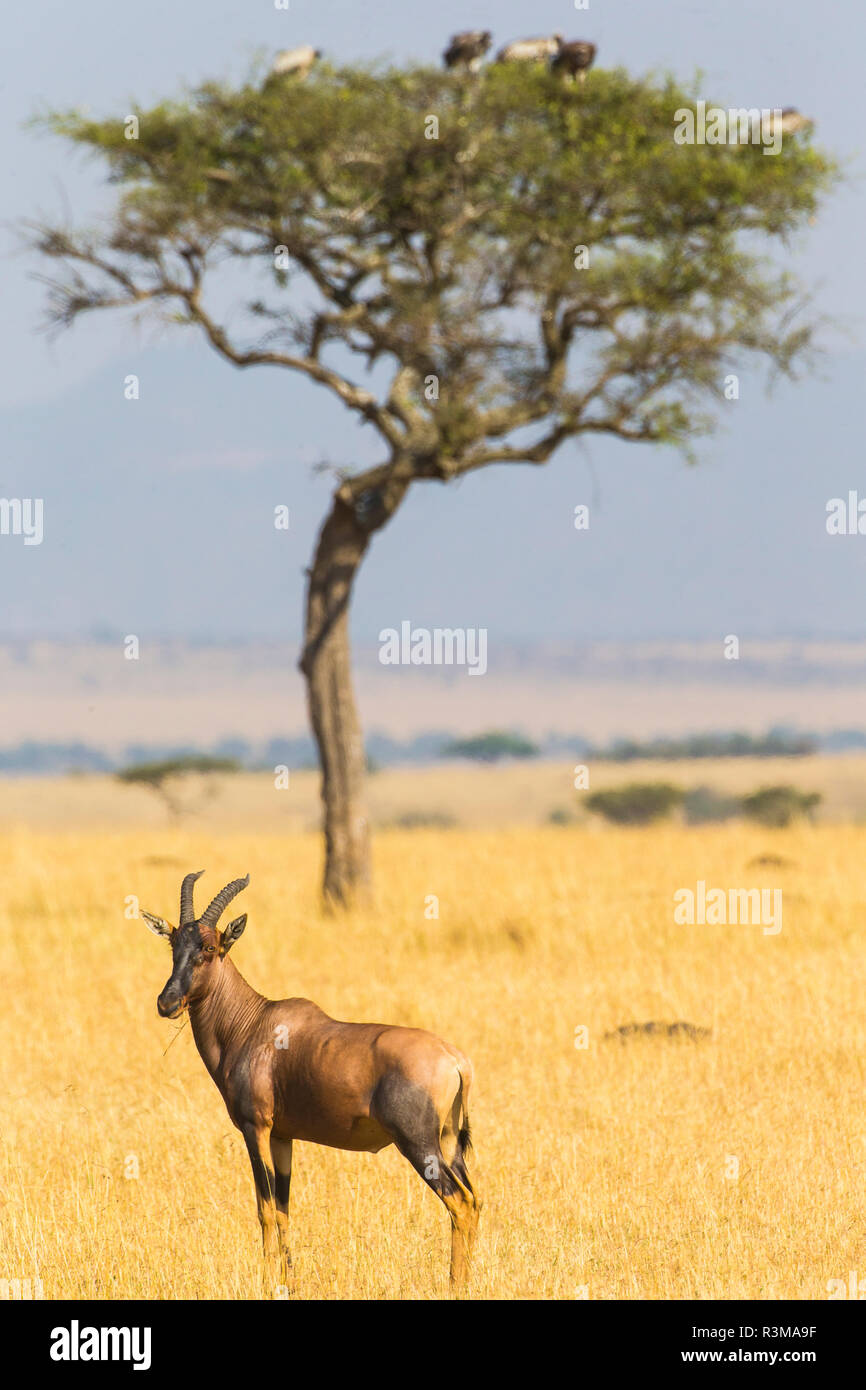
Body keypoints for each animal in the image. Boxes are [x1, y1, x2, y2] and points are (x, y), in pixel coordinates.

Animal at [142, 867, 480, 1289]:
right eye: (174, 944)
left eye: (210, 947)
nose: (167, 1003)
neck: (253, 1024)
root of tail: (454, 1059)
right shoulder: (283, 1136)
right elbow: (284, 1208)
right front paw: (289, 1278)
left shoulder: (255, 1128)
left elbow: (264, 1208)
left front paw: (267, 1281)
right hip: (449, 1143)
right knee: (474, 1200)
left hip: (420, 1145)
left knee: (459, 1203)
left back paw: (455, 1283)